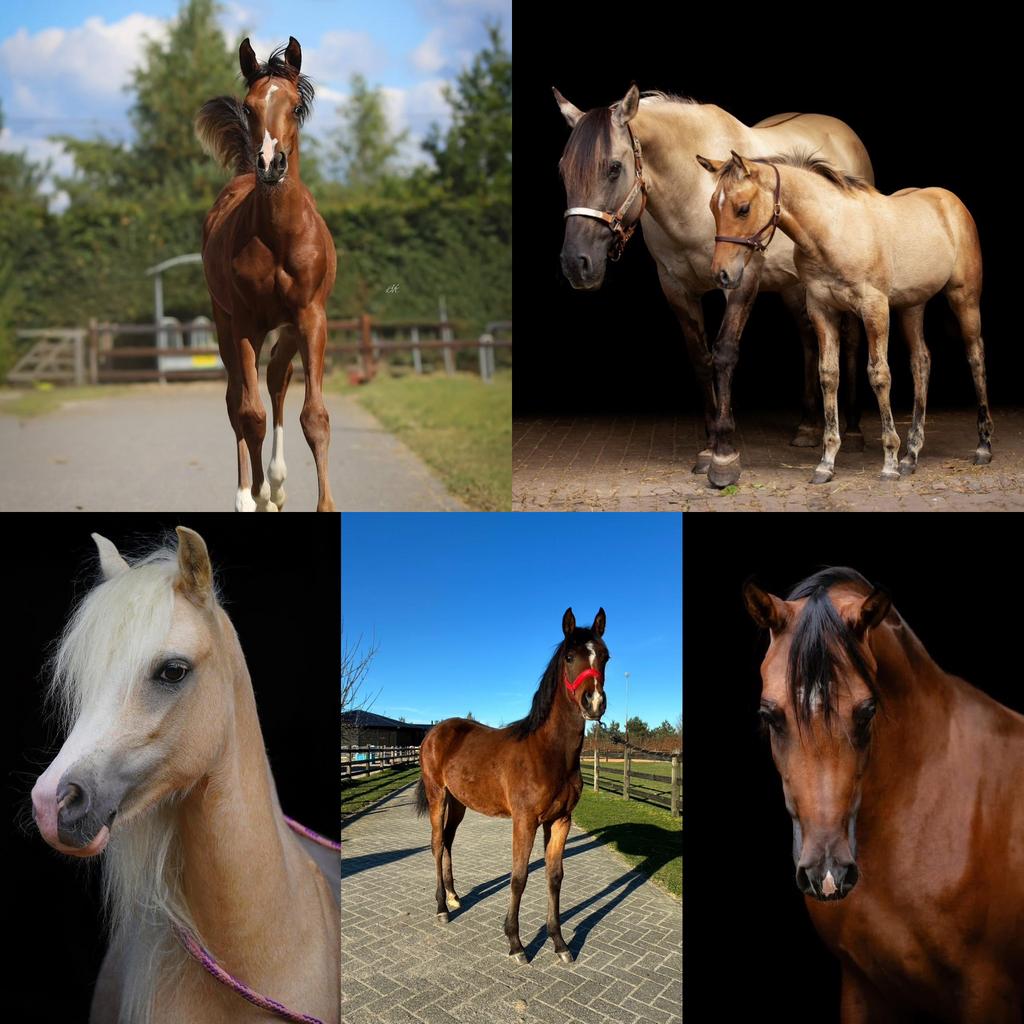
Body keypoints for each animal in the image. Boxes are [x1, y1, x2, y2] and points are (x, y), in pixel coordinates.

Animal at [196, 37, 337, 512]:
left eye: (295, 107)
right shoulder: (244, 323)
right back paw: (249, 493)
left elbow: (314, 416)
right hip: (224, 324)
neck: (278, 235)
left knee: (277, 380)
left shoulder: (311, 317)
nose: (271, 164)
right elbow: (250, 414)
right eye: (249, 106)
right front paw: (255, 495)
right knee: (236, 398)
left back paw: (276, 483)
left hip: (289, 329)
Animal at [416, 608, 609, 964]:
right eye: (570, 656)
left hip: (459, 802)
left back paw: (453, 896)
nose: (594, 702)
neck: (548, 752)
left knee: (447, 841)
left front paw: (559, 943)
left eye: (604, 656)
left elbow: (555, 877)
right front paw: (516, 943)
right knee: (436, 843)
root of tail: (435, 731)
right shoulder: (525, 821)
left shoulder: (560, 820)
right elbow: (519, 878)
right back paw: (441, 908)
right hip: (438, 795)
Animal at [554, 84, 874, 487]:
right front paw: (708, 448)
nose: (576, 264)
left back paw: (854, 430)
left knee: (851, 339)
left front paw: (724, 456)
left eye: (614, 168)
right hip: (793, 285)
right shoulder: (676, 288)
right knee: (807, 338)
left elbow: (724, 354)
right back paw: (807, 428)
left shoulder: (740, 280)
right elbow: (700, 360)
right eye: (563, 169)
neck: (692, 189)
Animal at [703, 151, 991, 482]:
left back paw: (983, 447)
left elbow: (879, 374)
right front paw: (826, 462)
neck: (832, 231)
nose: (722, 275)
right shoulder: (822, 309)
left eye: (743, 208)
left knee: (975, 357)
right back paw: (912, 454)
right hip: (912, 306)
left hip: (964, 298)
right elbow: (828, 375)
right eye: (712, 206)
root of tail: (951, 202)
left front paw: (889, 461)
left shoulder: (874, 308)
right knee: (921, 362)